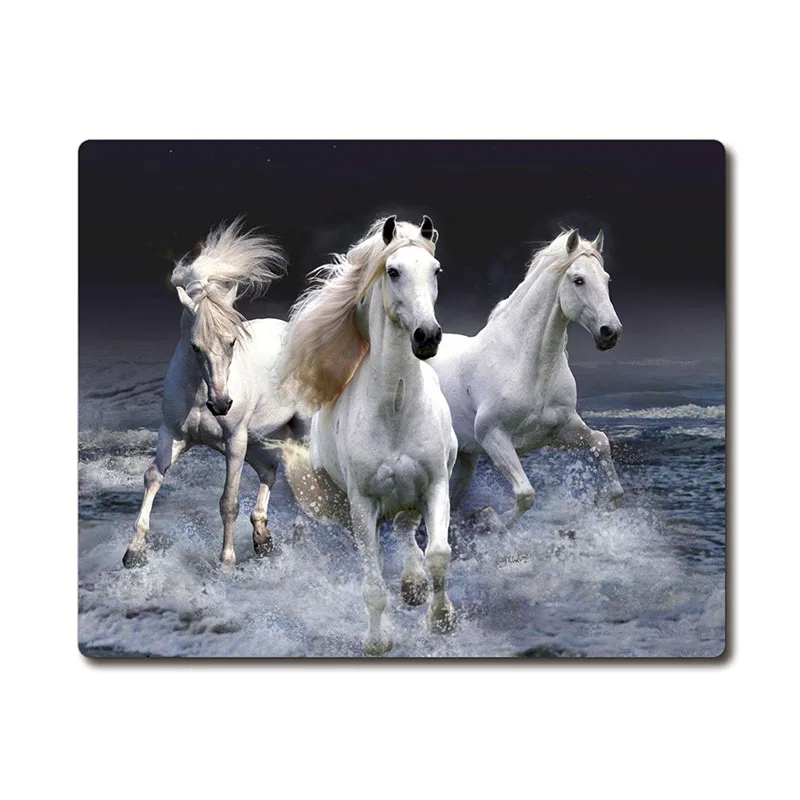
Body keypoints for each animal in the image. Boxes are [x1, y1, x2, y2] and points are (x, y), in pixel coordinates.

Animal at [123, 219, 306, 568]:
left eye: (232, 341)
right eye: (195, 346)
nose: (221, 405)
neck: (199, 394)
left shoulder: (234, 441)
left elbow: (228, 501)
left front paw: (226, 561)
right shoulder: (174, 435)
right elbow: (153, 477)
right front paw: (134, 552)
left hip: (295, 431)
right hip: (259, 439)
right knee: (270, 471)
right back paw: (262, 538)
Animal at [277, 215, 458, 655]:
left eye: (436, 270)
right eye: (393, 271)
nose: (427, 336)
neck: (395, 408)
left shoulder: (435, 484)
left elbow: (438, 554)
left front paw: (441, 619)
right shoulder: (362, 503)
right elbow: (373, 584)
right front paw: (378, 641)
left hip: (412, 494)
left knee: (407, 528)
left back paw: (413, 585)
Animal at [429, 229, 624, 532]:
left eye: (606, 279)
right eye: (578, 280)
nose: (610, 332)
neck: (529, 367)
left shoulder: (558, 431)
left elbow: (601, 442)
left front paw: (602, 502)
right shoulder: (494, 437)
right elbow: (526, 494)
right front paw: (490, 519)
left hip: (464, 459)